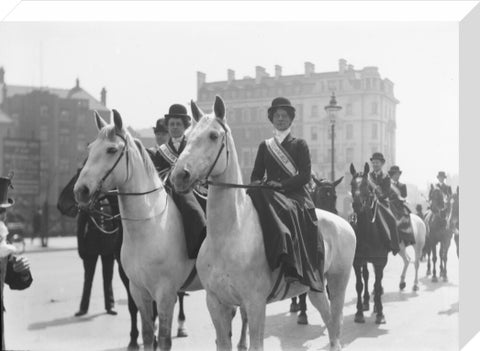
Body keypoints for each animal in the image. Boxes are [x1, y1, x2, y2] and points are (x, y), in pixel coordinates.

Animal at [57, 170, 188, 350]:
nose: (61, 203)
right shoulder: (127, 275)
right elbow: (133, 307)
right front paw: (134, 339)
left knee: (180, 295)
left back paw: (181, 325)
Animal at [73, 111, 212, 350]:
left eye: (111, 149)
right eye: (90, 148)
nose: (80, 190)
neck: (148, 227)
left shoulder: (165, 294)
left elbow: (163, 339)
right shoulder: (138, 290)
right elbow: (148, 334)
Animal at [348, 164, 390, 326]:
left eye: (366, 185)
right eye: (351, 184)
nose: (357, 204)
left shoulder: (380, 261)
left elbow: (378, 286)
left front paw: (380, 313)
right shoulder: (357, 261)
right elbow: (359, 284)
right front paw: (359, 312)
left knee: (377, 281)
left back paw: (376, 307)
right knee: (365, 276)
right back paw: (366, 302)